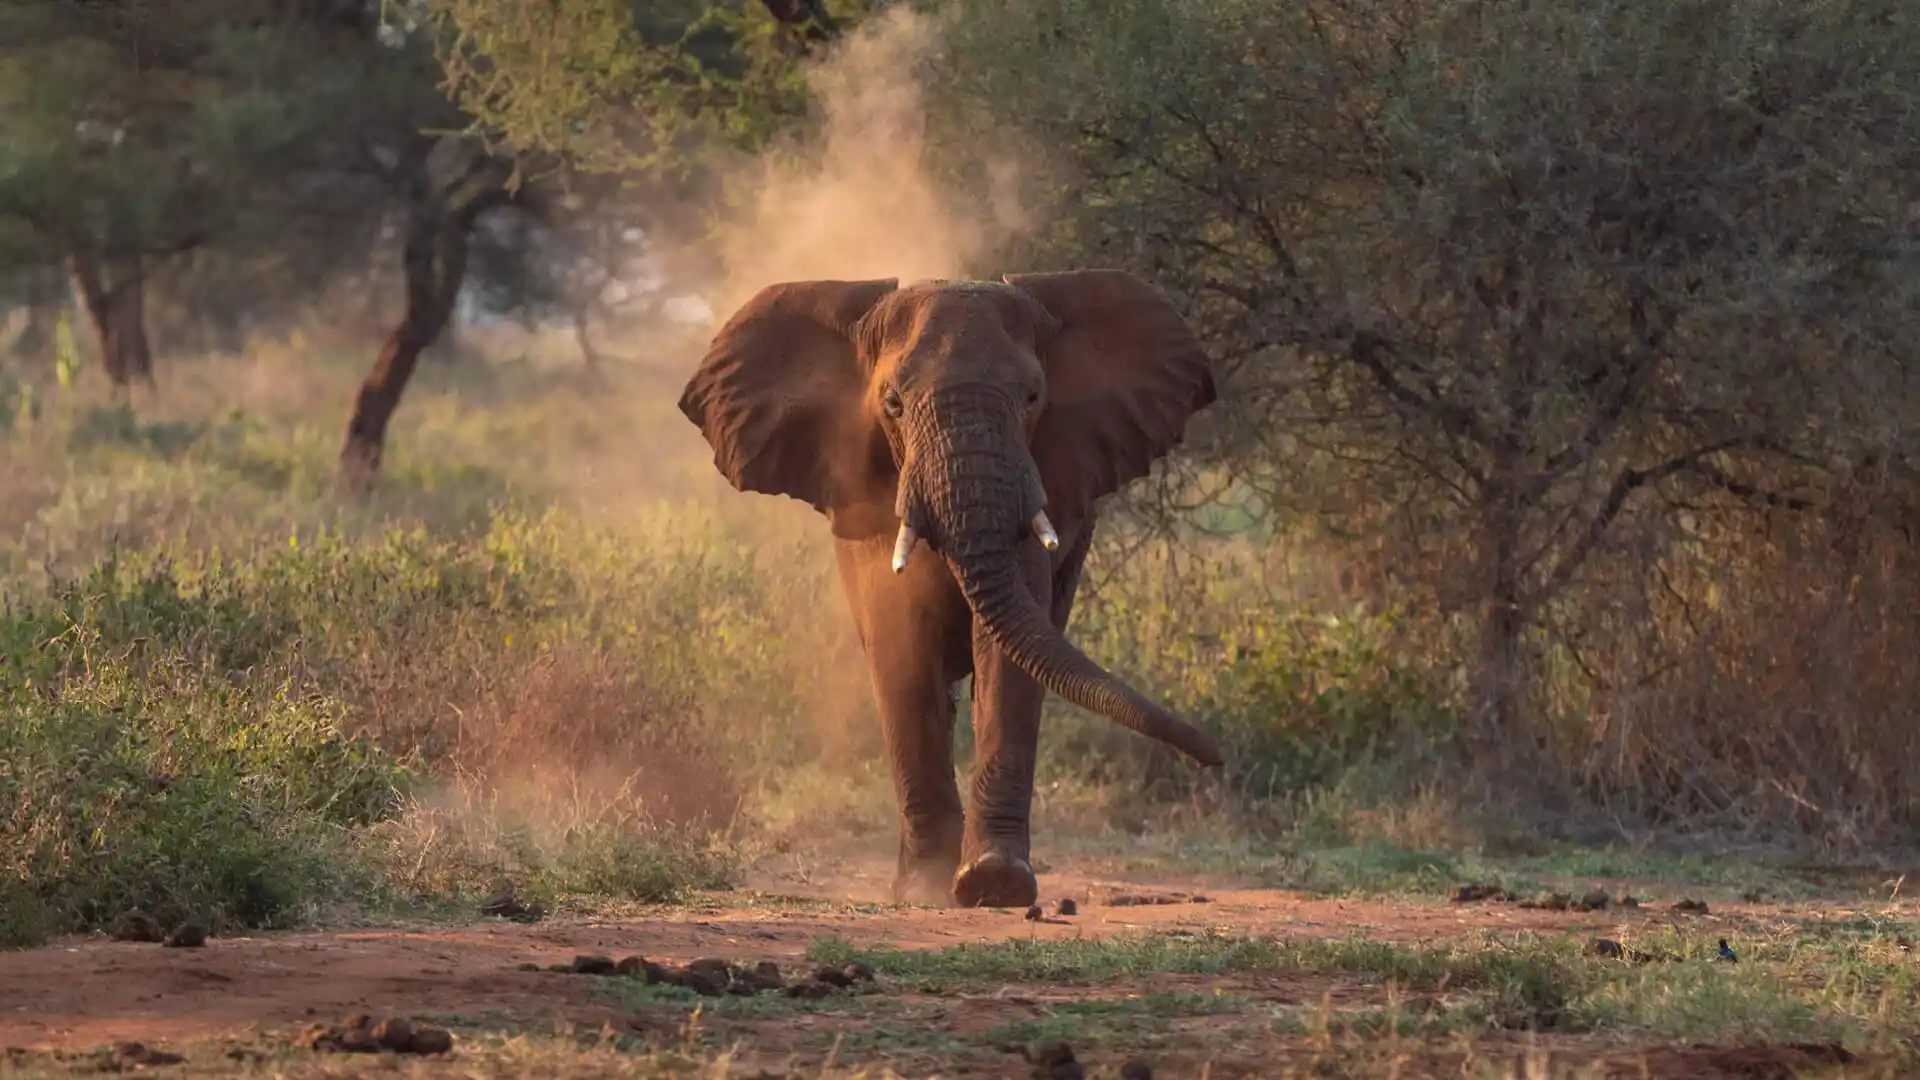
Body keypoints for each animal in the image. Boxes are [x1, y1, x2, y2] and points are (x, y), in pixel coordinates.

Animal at [683, 265, 1221, 903]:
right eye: (892, 403)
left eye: (1033, 397)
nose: (1214, 757)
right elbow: (901, 641)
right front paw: (925, 889)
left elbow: (1009, 656)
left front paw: (995, 882)